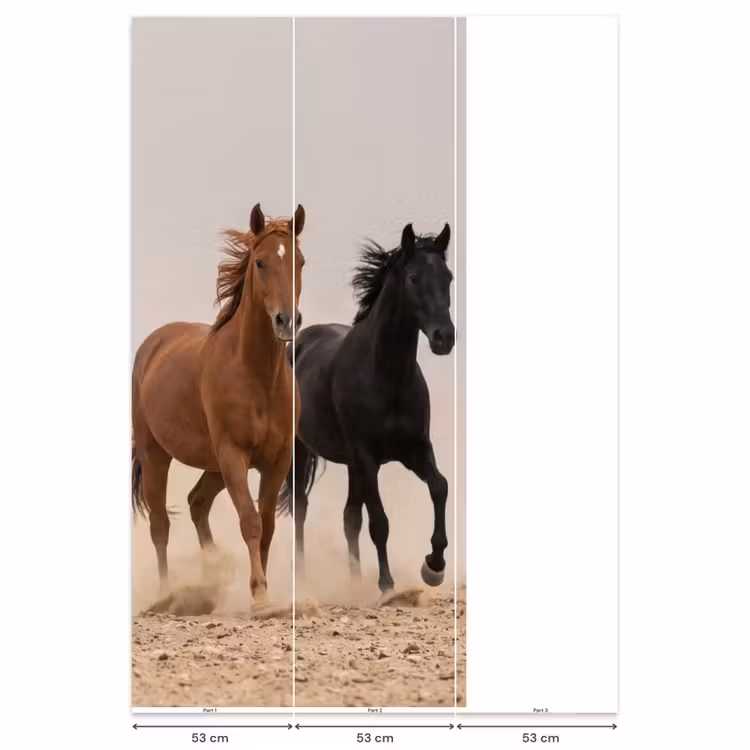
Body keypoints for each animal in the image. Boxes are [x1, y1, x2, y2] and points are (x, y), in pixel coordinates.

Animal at [132, 203, 306, 608]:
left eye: (301, 261)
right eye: (260, 262)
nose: (286, 321)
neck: (257, 377)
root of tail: (153, 345)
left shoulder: (277, 461)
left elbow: (267, 524)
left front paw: (263, 591)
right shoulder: (233, 454)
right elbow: (250, 521)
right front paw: (260, 597)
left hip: (212, 464)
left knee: (197, 503)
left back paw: (210, 580)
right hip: (157, 455)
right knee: (160, 524)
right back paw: (166, 595)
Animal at [277, 222, 455, 594]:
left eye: (448, 277)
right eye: (414, 277)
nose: (444, 337)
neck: (387, 378)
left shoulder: (415, 450)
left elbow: (439, 487)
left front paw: (434, 566)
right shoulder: (367, 457)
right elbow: (379, 521)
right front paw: (387, 585)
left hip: (351, 465)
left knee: (349, 518)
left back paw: (355, 581)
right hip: (303, 451)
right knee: (301, 507)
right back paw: (304, 579)